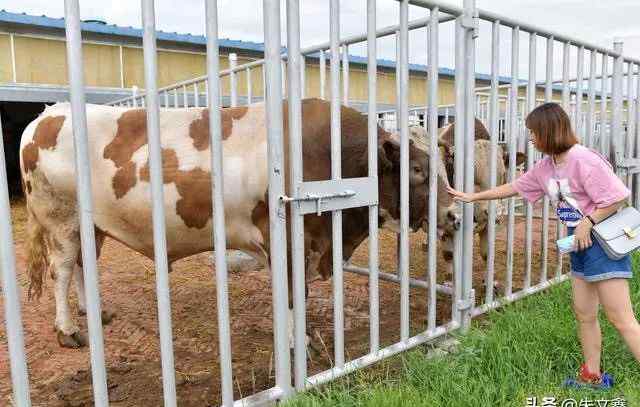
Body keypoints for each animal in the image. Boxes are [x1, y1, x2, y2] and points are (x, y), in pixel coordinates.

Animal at [20, 98, 460, 348]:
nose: (454, 213)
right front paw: (297, 342)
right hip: (60, 217)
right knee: (63, 269)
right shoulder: (287, 242)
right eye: (417, 170)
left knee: (83, 263)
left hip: (89, 226)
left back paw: (92, 312)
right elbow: (292, 295)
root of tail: (46, 114)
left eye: (443, 165)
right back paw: (67, 329)